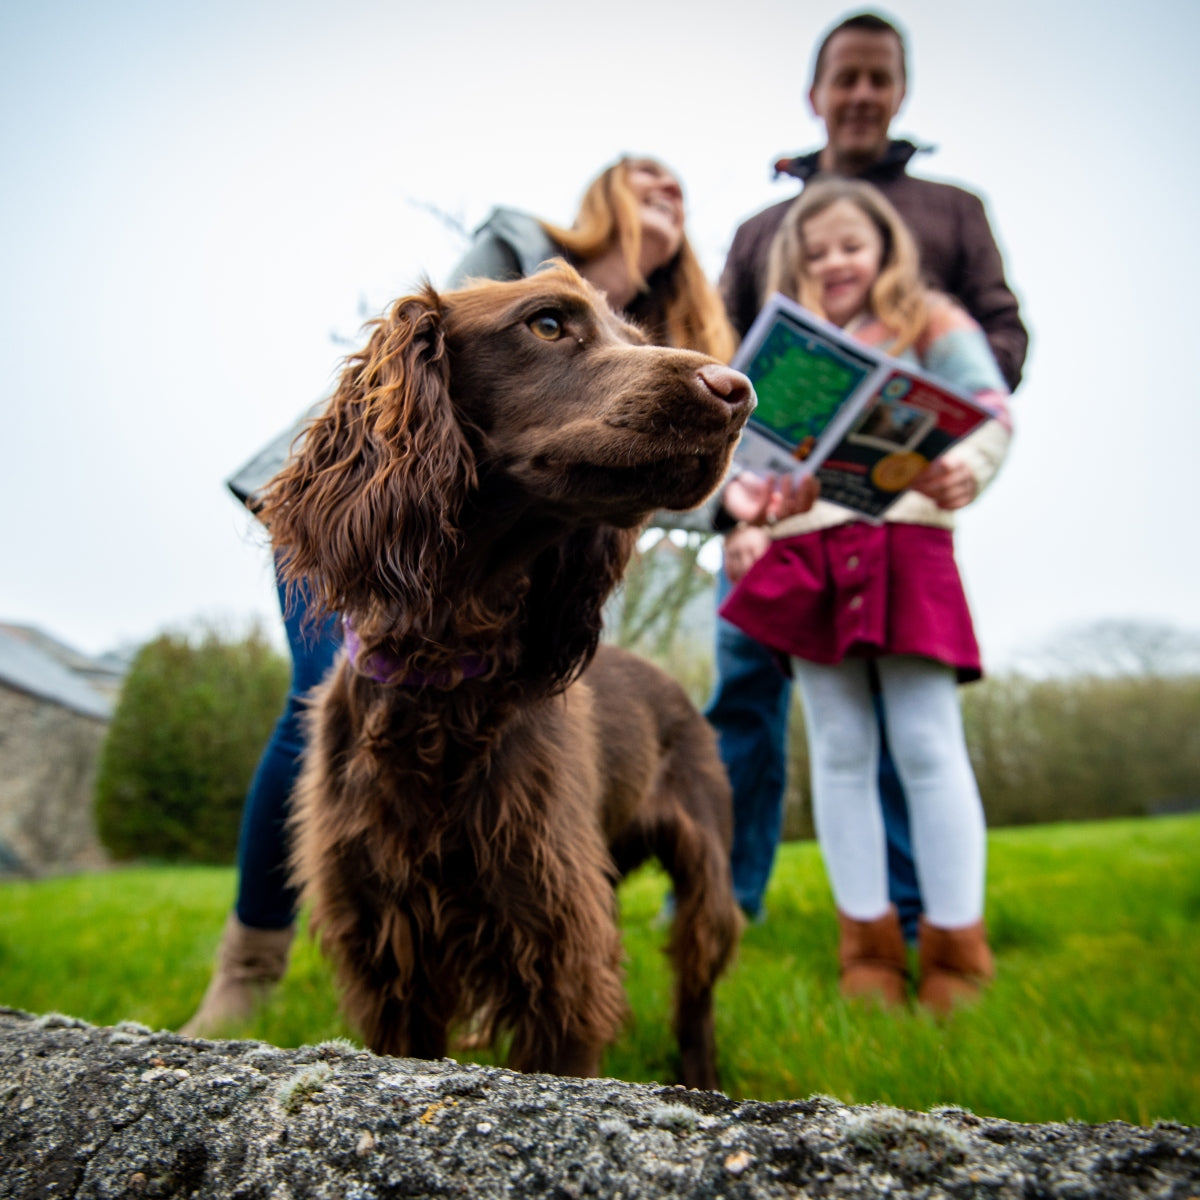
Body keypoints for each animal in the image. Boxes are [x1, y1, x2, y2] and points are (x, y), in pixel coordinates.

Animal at [259, 262, 753, 1089]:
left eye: (636, 336)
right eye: (547, 323)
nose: (739, 389)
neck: (444, 678)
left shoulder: (559, 956)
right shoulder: (388, 955)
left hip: (706, 876)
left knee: (697, 998)